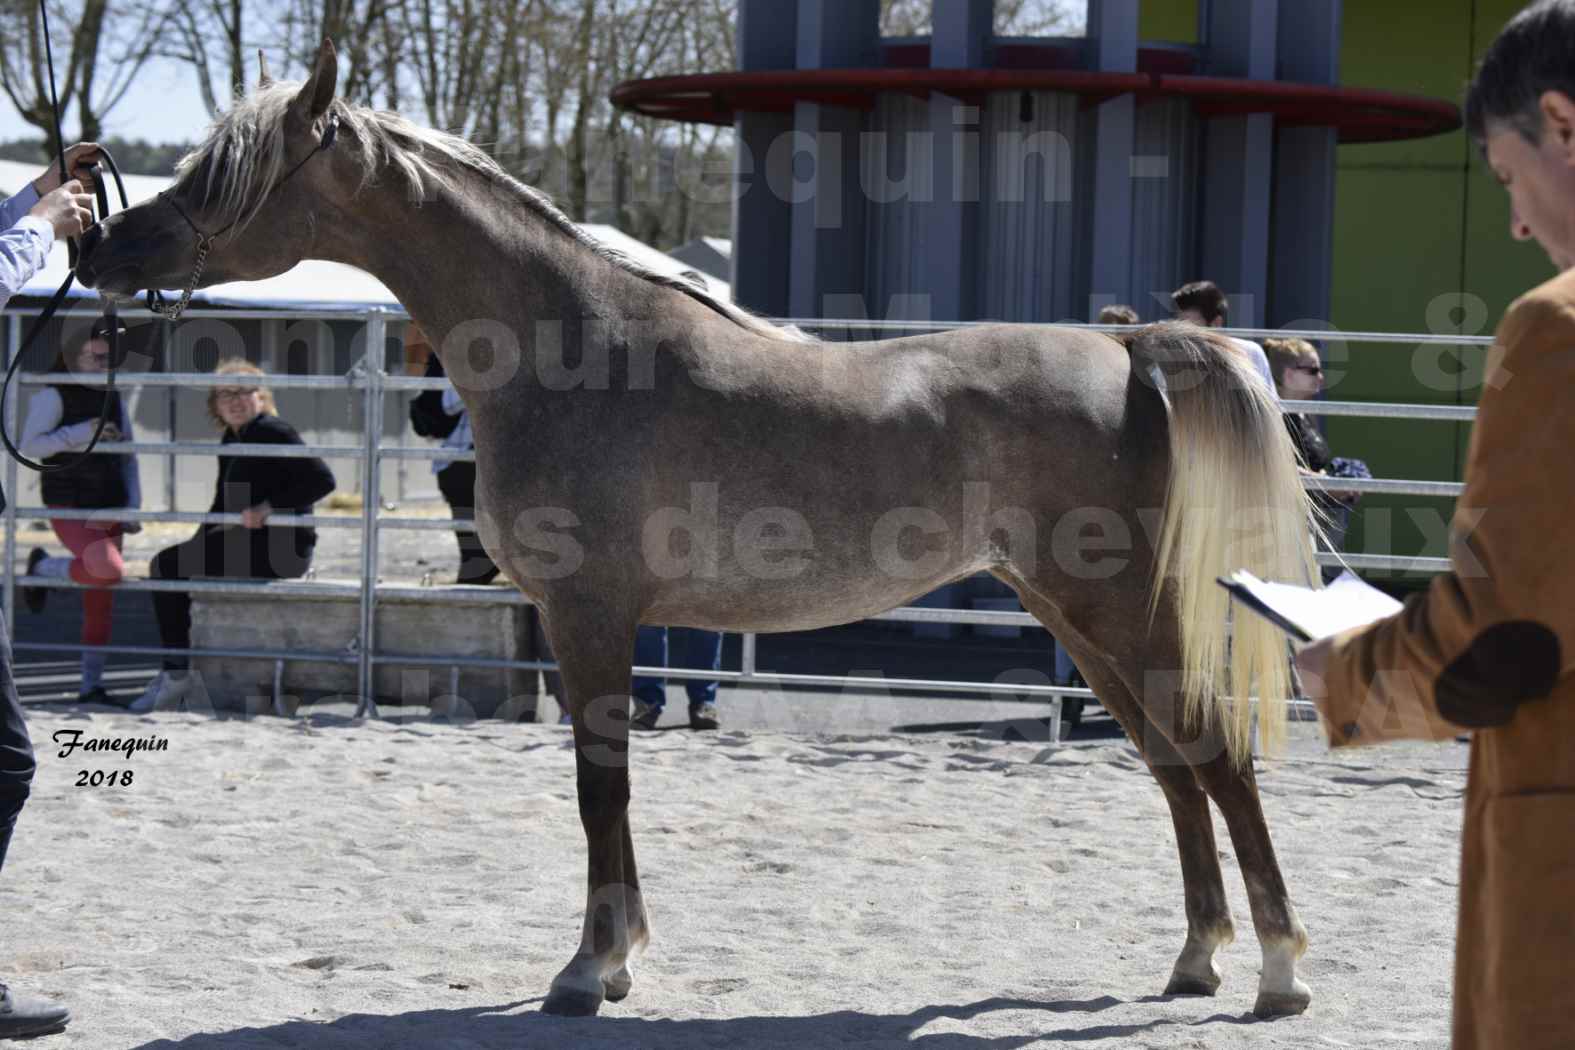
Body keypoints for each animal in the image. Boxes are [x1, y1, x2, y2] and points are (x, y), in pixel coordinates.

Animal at [79, 45, 1323, 1020]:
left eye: (226, 174)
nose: (103, 247)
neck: (577, 350)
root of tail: (1130, 347)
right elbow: (608, 788)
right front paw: (619, 960)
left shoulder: (589, 617)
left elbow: (601, 786)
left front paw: (588, 972)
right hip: (1076, 617)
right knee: (1174, 767)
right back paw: (1195, 961)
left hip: (1122, 609)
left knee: (1219, 759)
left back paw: (1278, 973)